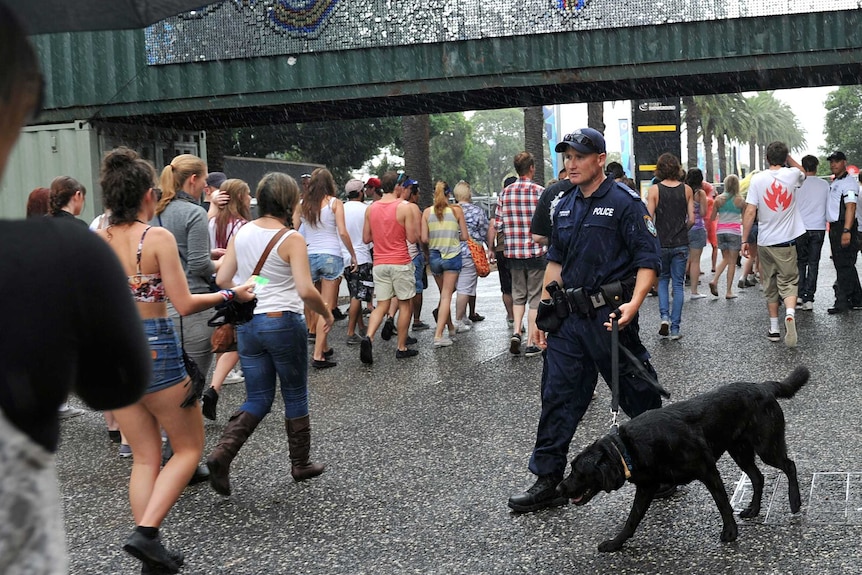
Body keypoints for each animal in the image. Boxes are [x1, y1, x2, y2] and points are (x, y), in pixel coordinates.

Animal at [560, 366, 808, 552]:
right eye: (570, 468)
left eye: (578, 472)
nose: (560, 488)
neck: (626, 448)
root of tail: (764, 386)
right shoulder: (647, 487)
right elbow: (632, 520)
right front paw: (615, 543)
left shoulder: (708, 471)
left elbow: (723, 504)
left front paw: (730, 532)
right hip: (740, 452)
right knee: (758, 477)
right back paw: (754, 509)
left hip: (766, 447)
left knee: (789, 466)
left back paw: (794, 500)